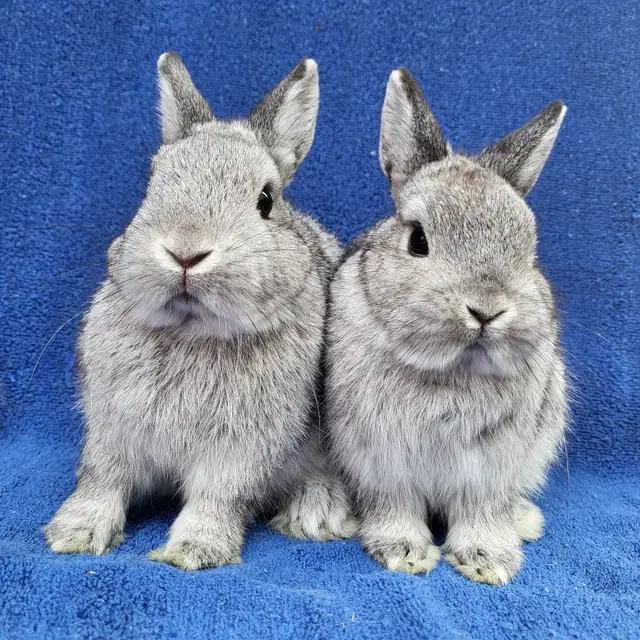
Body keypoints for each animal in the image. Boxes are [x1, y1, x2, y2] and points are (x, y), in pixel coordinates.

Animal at [44, 52, 356, 571]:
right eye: (151, 186)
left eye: (266, 200)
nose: (186, 252)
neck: (190, 332)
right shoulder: (112, 432)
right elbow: (100, 481)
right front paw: (71, 535)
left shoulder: (238, 452)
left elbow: (216, 498)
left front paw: (191, 551)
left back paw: (315, 512)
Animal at [325, 68, 568, 585]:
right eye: (418, 240)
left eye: (529, 251)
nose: (486, 310)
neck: (451, 369)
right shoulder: (380, 460)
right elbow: (394, 506)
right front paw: (404, 553)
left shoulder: (492, 468)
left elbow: (483, 512)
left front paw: (488, 562)